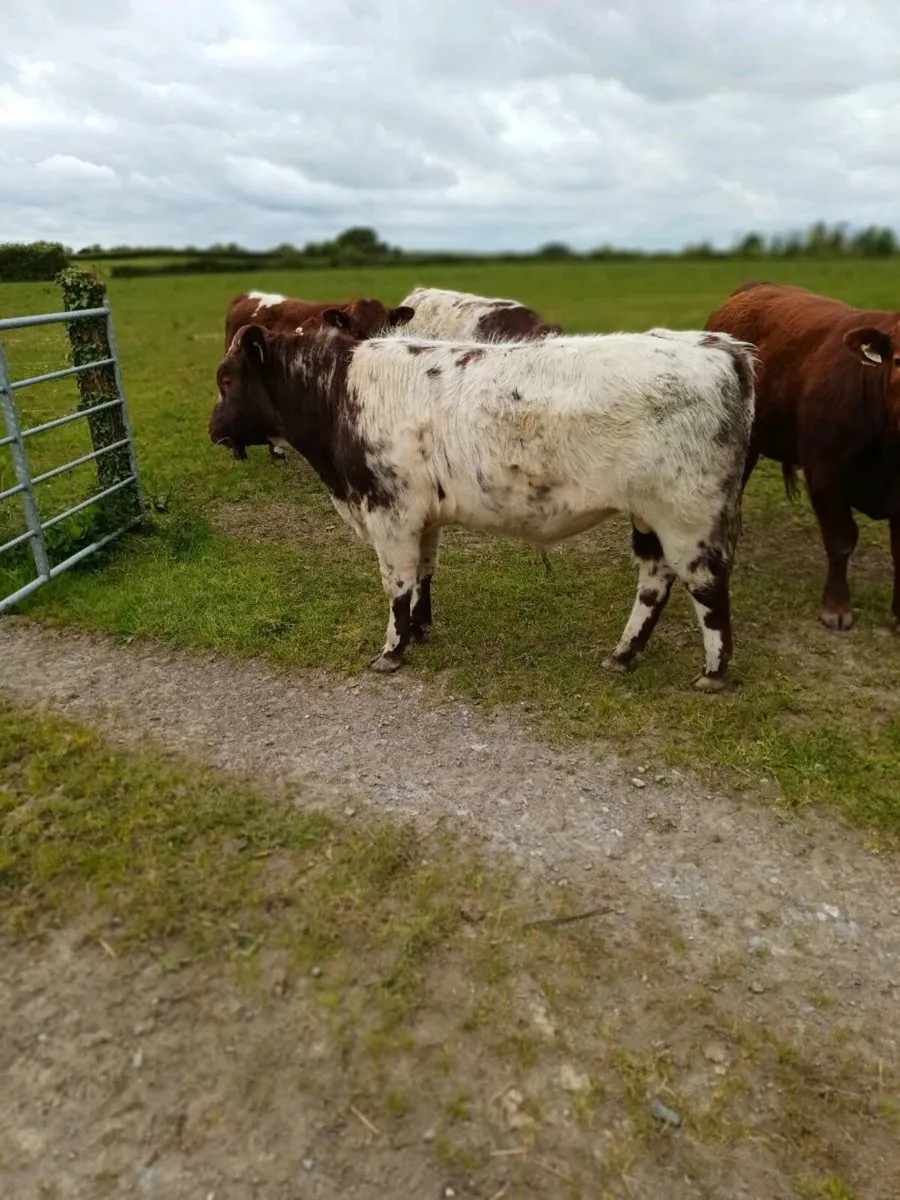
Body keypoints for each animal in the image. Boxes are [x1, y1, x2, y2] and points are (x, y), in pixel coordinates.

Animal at [208, 314, 757, 691]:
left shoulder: (390, 512)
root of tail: (721, 348)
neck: (341, 393)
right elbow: (423, 573)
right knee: (655, 581)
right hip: (651, 517)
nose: (213, 430)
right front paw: (420, 629)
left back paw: (712, 672)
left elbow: (397, 582)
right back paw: (624, 654)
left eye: (228, 380)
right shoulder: (423, 515)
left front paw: (392, 650)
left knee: (706, 586)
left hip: (686, 515)